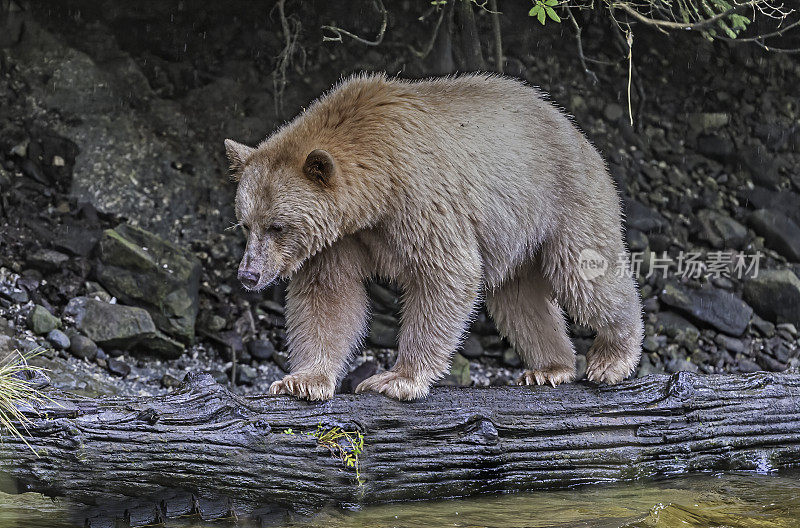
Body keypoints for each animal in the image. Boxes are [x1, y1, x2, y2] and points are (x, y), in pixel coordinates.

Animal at [225, 73, 644, 400]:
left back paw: (612, 357)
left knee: (584, 276)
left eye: (278, 226)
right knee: (519, 301)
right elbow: (327, 296)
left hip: (563, 201)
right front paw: (302, 381)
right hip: (516, 238)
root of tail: (574, 128)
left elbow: (446, 273)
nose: (249, 274)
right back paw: (550, 367)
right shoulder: (339, 239)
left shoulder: (420, 196)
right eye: (245, 224)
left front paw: (396, 379)